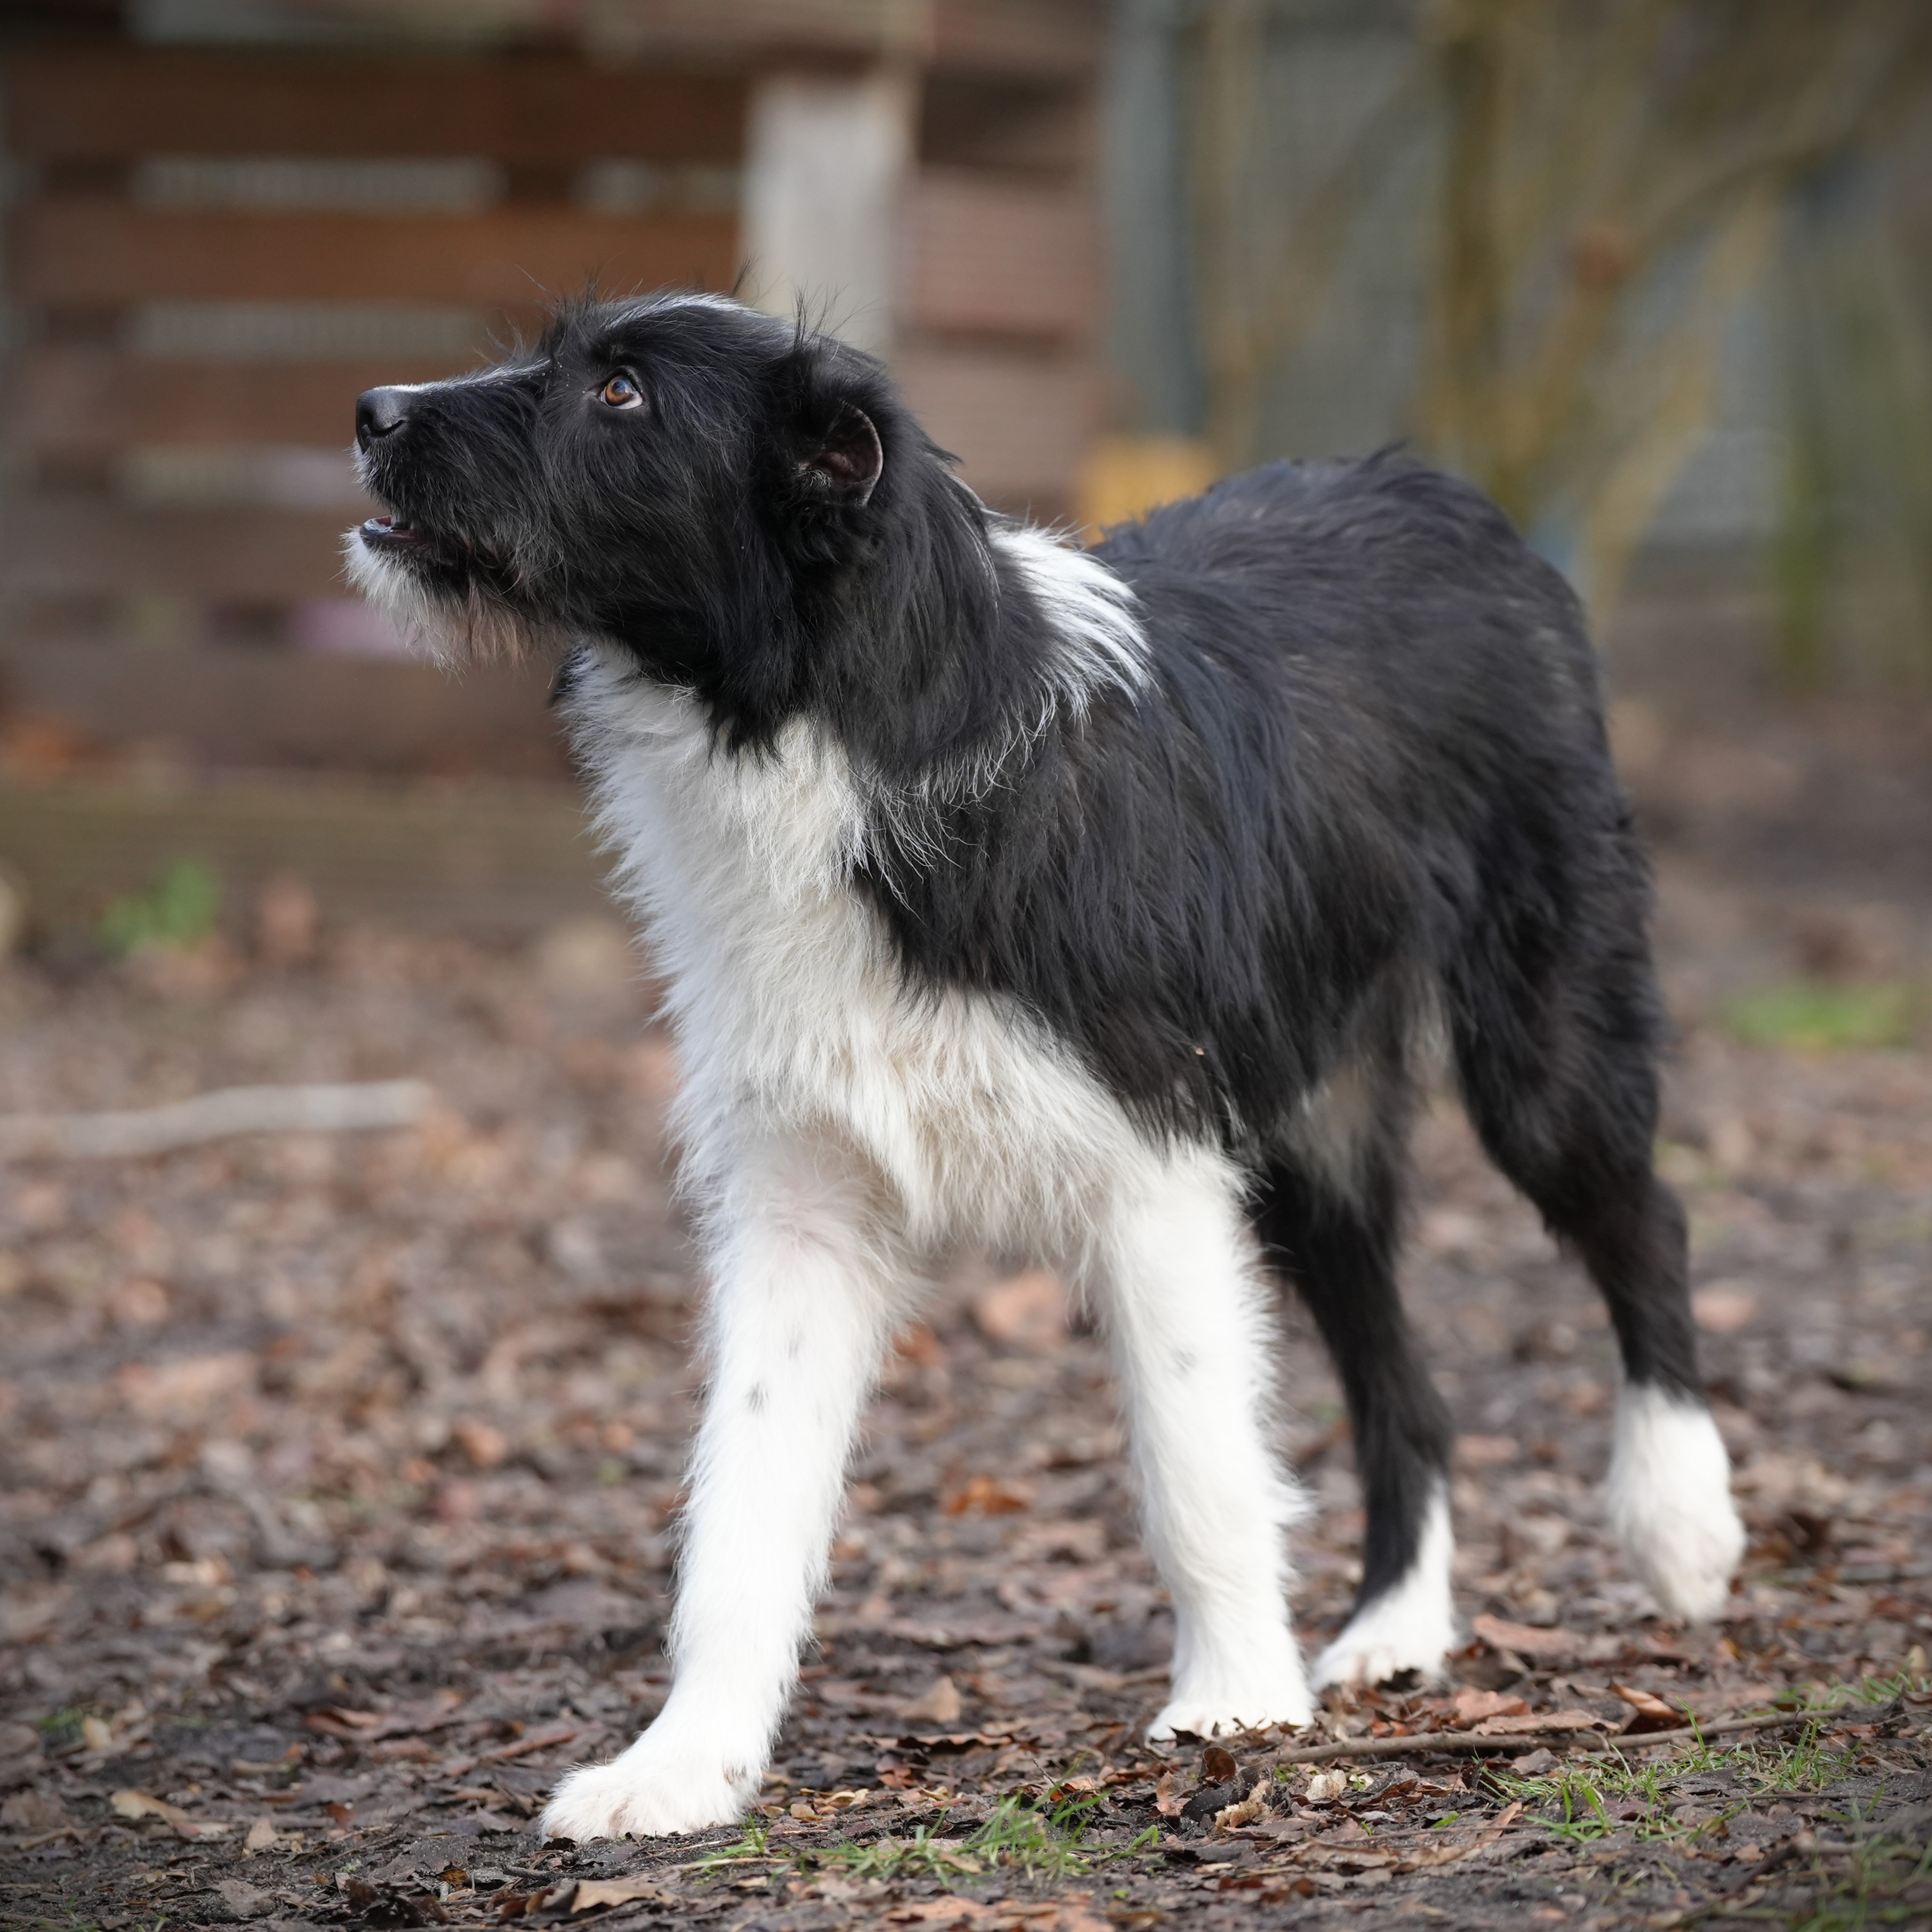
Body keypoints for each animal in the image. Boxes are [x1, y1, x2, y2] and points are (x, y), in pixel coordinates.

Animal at [347, 291, 1746, 1842]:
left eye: (620, 392)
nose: (370, 413)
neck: (838, 726)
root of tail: (1443, 494)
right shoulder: (801, 1209)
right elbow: (743, 1501)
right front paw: (686, 1760)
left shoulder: (1154, 1174)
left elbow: (1196, 1463)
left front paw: (1236, 1706)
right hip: (1305, 1151)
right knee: (1403, 1375)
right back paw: (1397, 1624)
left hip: (1537, 1052)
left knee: (1644, 1222)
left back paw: (1680, 1520)